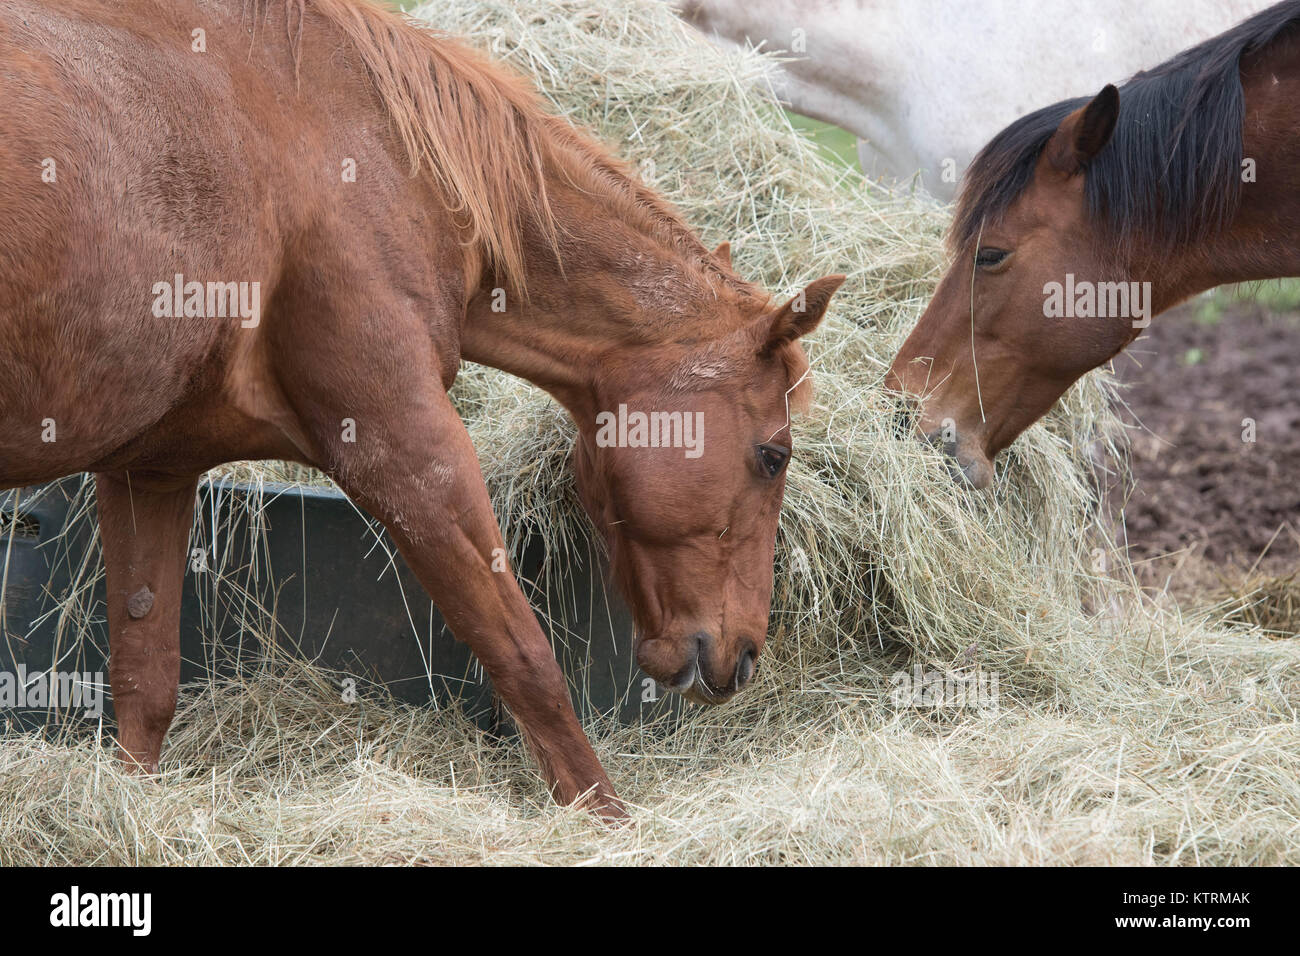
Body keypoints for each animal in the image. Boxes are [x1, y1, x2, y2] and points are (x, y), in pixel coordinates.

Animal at [0, 1, 842, 822]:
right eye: (774, 455)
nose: (742, 655)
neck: (372, 149)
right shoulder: (404, 446)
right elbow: (523, 656)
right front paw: (609, 824)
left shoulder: (153, 471)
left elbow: (145, 687)